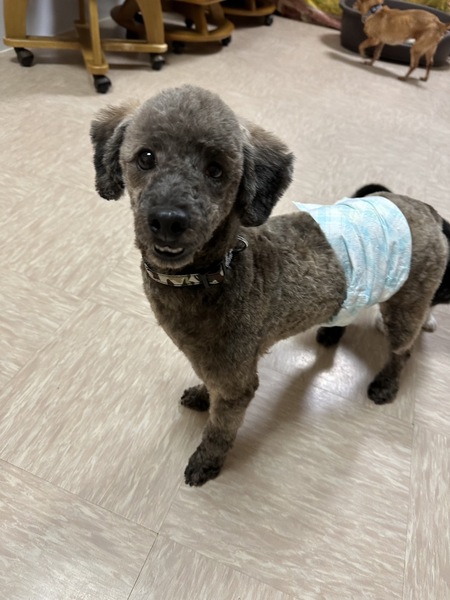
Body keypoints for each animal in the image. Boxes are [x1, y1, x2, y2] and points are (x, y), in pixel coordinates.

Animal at [90, 85, 450, 486]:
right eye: (146, 157)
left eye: (216, 170)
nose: (169, 220)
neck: (217, 270)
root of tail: (425, 209)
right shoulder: (216, 366)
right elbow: (209, 387)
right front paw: (201, 396)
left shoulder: (237, 381)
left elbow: (220, 429)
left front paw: (207, 461)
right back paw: (330, 333)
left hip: (406, 305)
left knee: (403, 350)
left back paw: (386, 384)